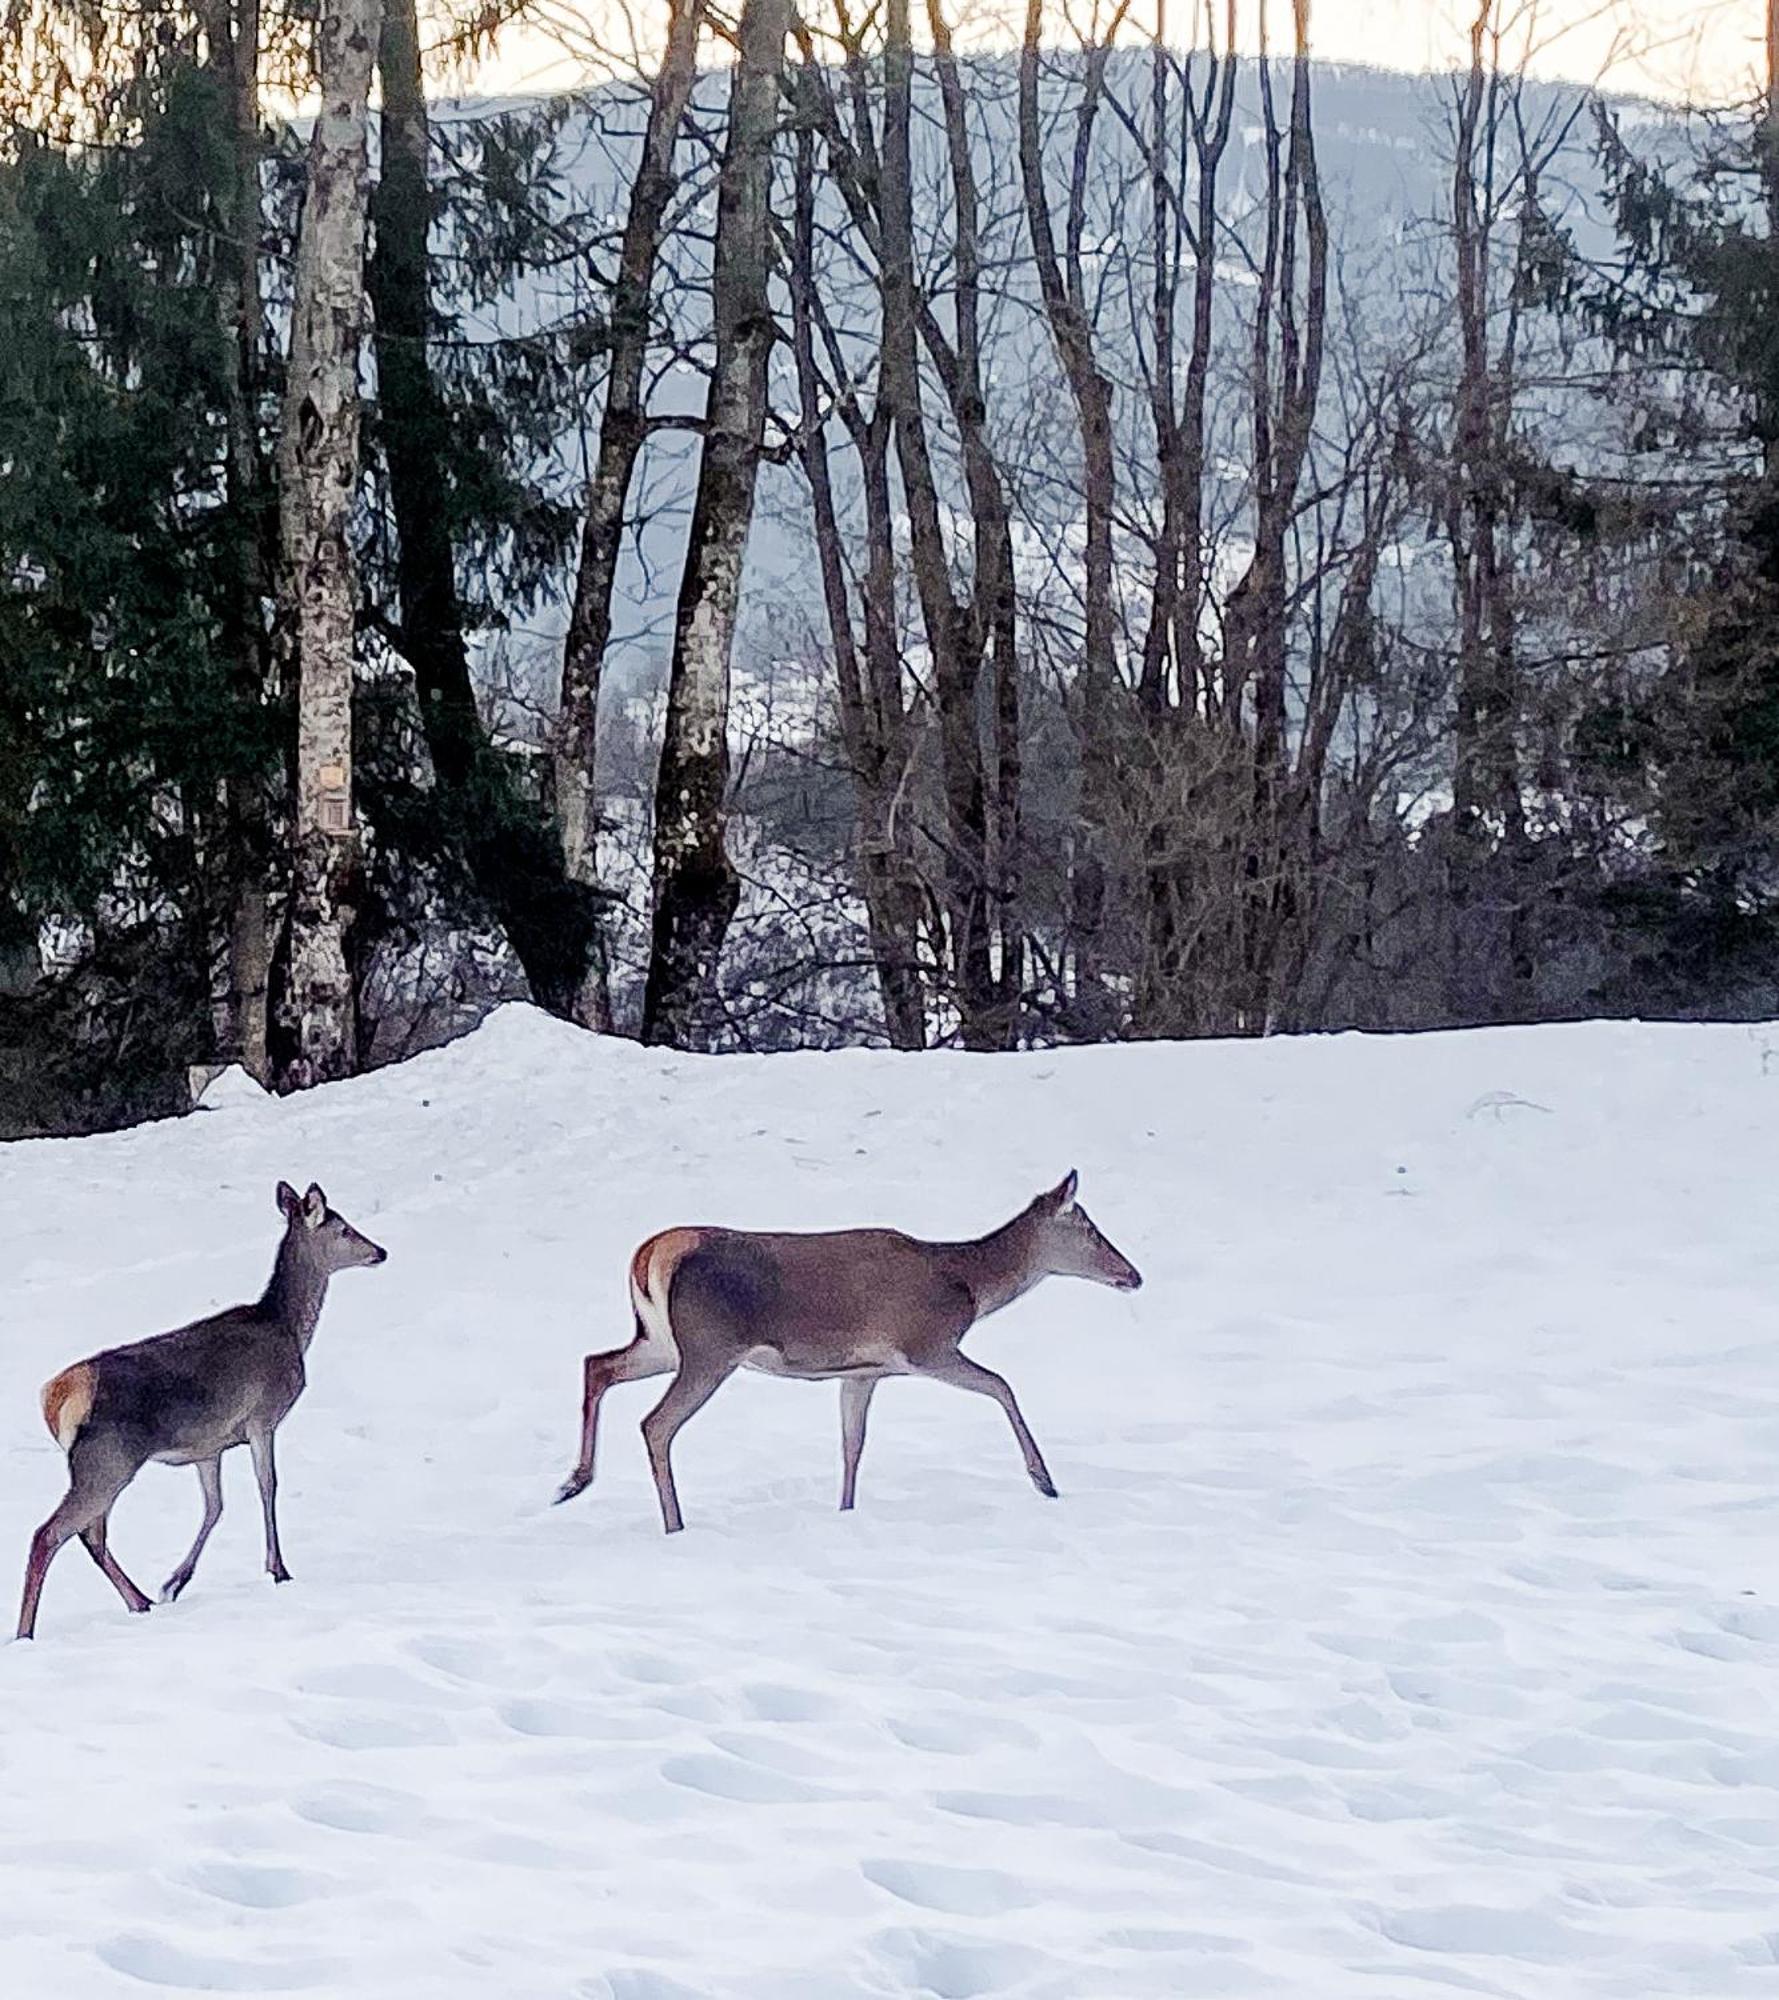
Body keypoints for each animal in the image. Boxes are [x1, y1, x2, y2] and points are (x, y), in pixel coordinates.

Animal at [16, 1176, 385, 1632]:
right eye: (344, 1229)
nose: (380, 1252)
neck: (289, 1330)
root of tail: (58, 1395)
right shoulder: (262, 1416)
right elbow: (268, 1486)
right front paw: (278, 1569)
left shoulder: (209, 1447)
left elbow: (215, 1506)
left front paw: (174, 1582)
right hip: (107, 1460)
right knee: (49, 1533)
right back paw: (26, 1633)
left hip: (99, 1463)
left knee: (91, 1532)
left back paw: (140, 1600)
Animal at [547, 1168, 1143, 1528]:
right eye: (1089, 1229)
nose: (1133, 1275)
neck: (967, 1287)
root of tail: (649, 1254)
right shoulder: (924, 1344)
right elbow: (1003, 1385)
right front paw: (1045, 1481)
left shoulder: (862, 1371)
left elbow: (852, 1443)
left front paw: (845, 1510)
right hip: (709, 1347)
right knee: (655, 1423)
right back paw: (674, 1523)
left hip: (661, 1342)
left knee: (597, 1364)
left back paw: (572, 1482)